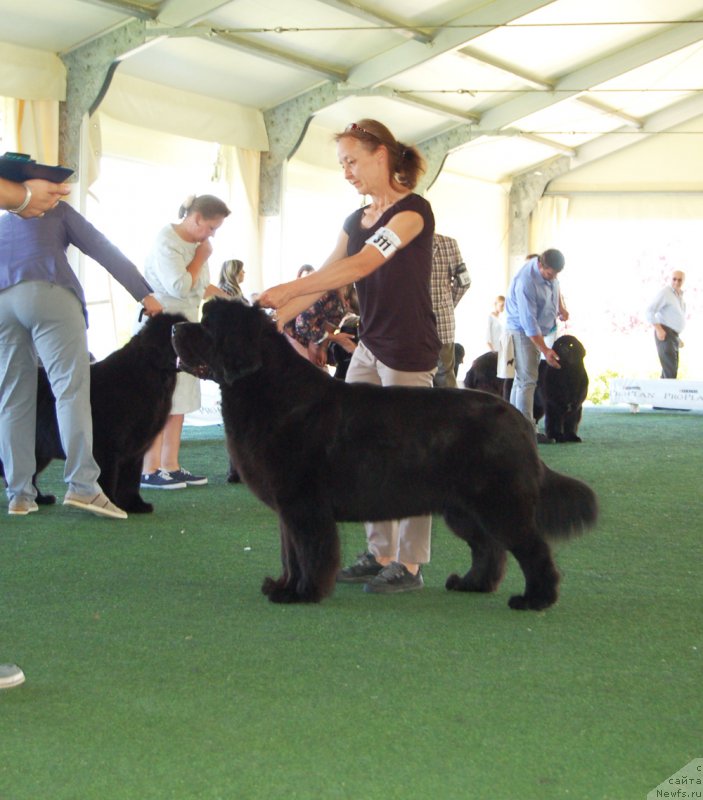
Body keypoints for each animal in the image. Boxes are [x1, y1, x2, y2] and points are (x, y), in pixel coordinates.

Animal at [0, 312, 186, 512]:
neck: (151, 374)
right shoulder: (107, 447)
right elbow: (108, 478)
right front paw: (109, 504)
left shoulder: (136, 448)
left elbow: (130, 479)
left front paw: (135, 505)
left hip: (40, 450)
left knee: (29, 474)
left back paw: (39, 499)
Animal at [173, 302, 596, 612]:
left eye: (206, 324)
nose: (175, 328)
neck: (268, 389)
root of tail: (517, 420)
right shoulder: (287, 508)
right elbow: (289, 553)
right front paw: (282, 586)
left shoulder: (303, 504)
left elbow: (308, 551)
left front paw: (302, 593)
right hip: (464, 508)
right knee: (488, 548)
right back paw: (471, 584)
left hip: (498, 501)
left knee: (532, 548)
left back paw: (535, 599)